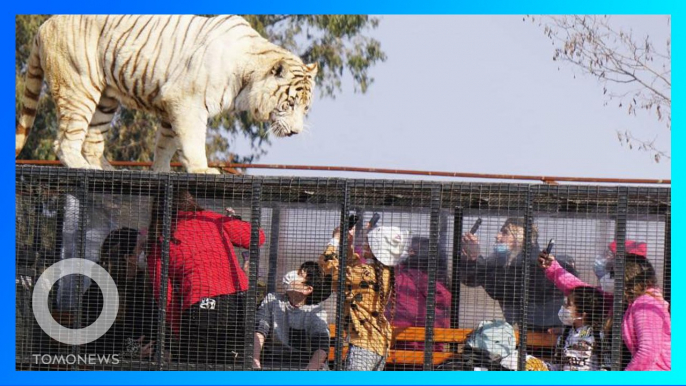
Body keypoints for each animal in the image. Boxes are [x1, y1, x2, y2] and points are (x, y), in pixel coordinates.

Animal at [15, 15, 318, 174]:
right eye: (290, 103)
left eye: (305, 109)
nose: (295, 132)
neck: (246, 78)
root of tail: (44, 25)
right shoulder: (188, 103)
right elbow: (192, 143)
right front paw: (202, 170)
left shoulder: (173, 108)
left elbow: (165, 145)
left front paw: (160, 172)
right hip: (79, 86)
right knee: (64, 141)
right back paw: (84, 167)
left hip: (105, 100)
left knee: (92, 141)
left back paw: (108, 170)